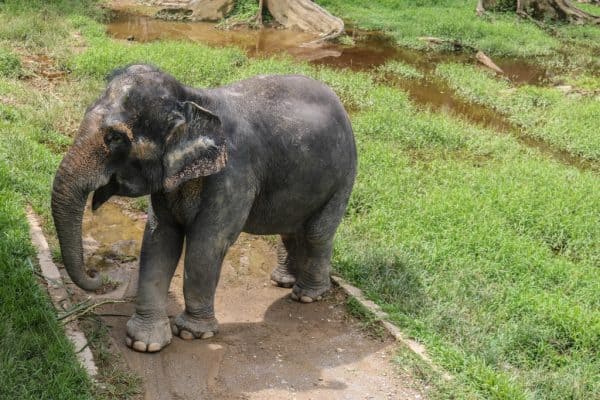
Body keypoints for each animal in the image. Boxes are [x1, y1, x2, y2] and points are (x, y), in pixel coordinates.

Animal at [51, 63, 356, 354]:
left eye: (115, 138)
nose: (97, 275)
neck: (193, 98)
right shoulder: (170, 180)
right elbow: (159, 239)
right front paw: (145, 343)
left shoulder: (234, 174)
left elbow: (206, 244)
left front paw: (192, 333)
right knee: (290, 229)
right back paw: (283, 280)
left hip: (344, 175)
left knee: (318, 232)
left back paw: (307, 294)